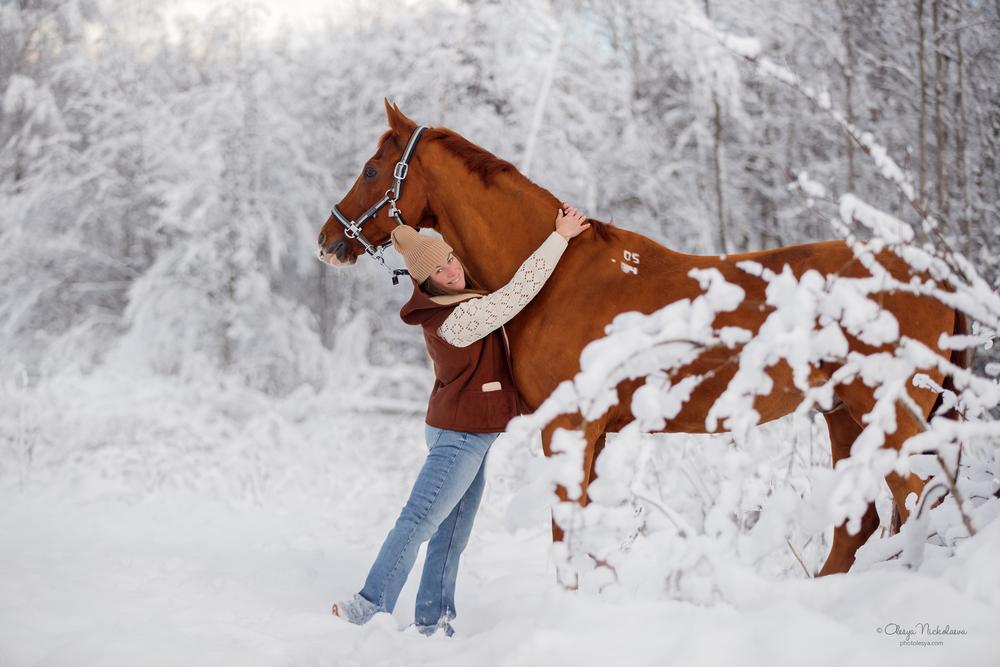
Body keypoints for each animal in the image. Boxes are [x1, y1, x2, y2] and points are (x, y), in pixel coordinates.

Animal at [318, 99, 966, 577]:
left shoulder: (569, 427)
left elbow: (565, 530)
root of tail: (934, 273)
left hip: (890, 415)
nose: (329, 238)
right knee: (861, 523)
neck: (557, 276)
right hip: (845, 418)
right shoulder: (598, 433)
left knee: (921, 501)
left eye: (371, 169)